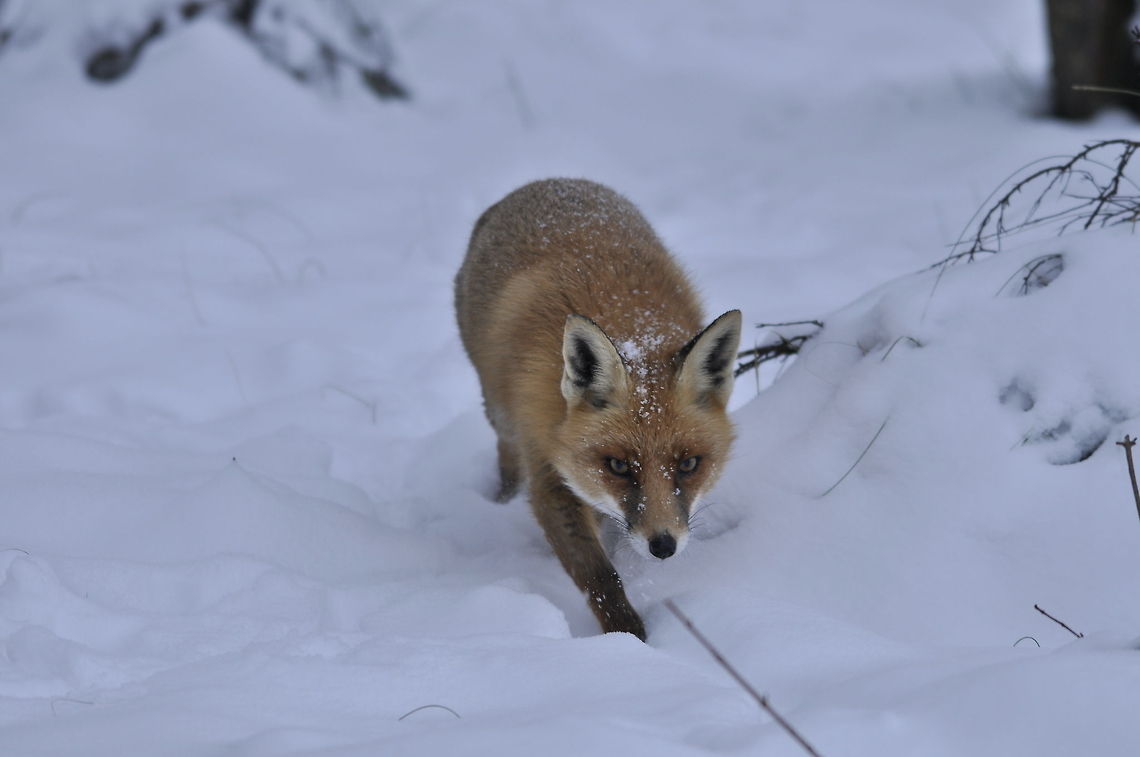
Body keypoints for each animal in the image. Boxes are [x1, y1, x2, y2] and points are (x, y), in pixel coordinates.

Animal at [454, 178, 741, 640]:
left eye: (689, 464)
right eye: (619, 466)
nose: (663, 547)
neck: (633, 328)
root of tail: (547, 181)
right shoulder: (547, 471)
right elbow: (600, 577)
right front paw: (629, 643)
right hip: (498, 411)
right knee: (505, 453)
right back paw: (501, 497)